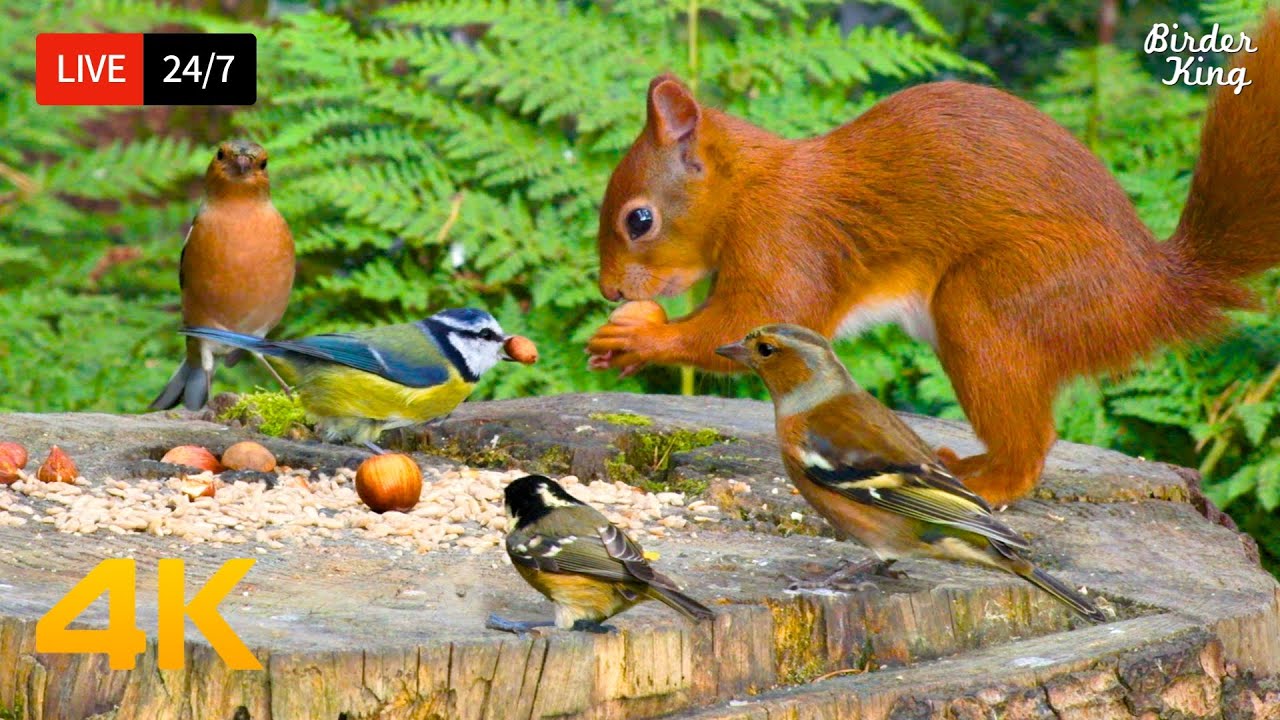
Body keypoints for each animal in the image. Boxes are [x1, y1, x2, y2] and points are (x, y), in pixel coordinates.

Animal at [587, 12, 1280, 507]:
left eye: (639, 220)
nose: (610, 291)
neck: (749, 188)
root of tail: (1153, 292)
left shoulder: (786, 239)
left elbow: (747, 323)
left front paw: (637, 338)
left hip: (998, 300)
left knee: (1031, 442)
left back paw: (986, 481)